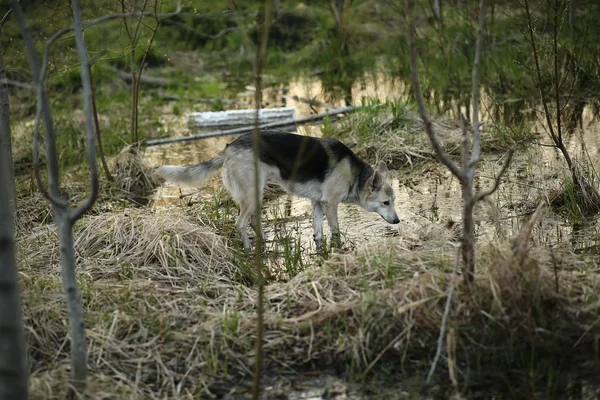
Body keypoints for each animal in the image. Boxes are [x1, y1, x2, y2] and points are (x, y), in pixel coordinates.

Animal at [154, 130, 398, 250]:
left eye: (394, 201)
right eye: (386, 203)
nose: (397, 221)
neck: (355, 174)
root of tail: (230, 147)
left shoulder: (317, 204)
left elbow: (318, 232)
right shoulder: (330, 205)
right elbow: (335, 231)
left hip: (257, 194)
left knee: (253, 222)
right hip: (252, 195)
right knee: (240, 224)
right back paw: (248, 250)